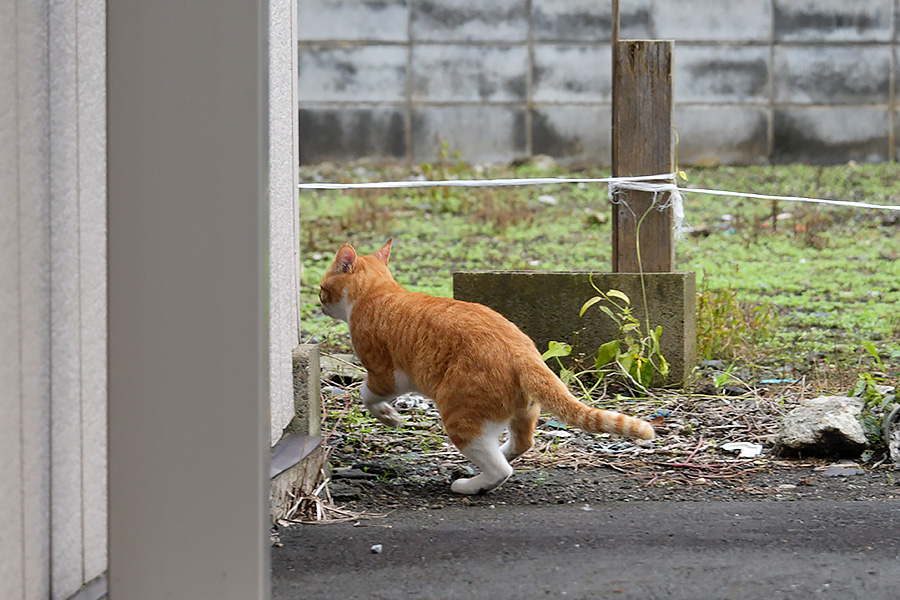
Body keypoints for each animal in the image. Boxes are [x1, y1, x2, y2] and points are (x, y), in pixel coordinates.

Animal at [318, 239, 652, 496]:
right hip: (523, 411)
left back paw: (470, 485)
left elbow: (367, 394)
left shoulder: (385, 375)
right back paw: (498, 454)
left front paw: (389, 417)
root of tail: (525, 354)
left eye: (321, 288)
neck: (378, 292)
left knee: (500, 469)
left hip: (460, 415)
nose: (319, 303)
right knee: (521, 443)